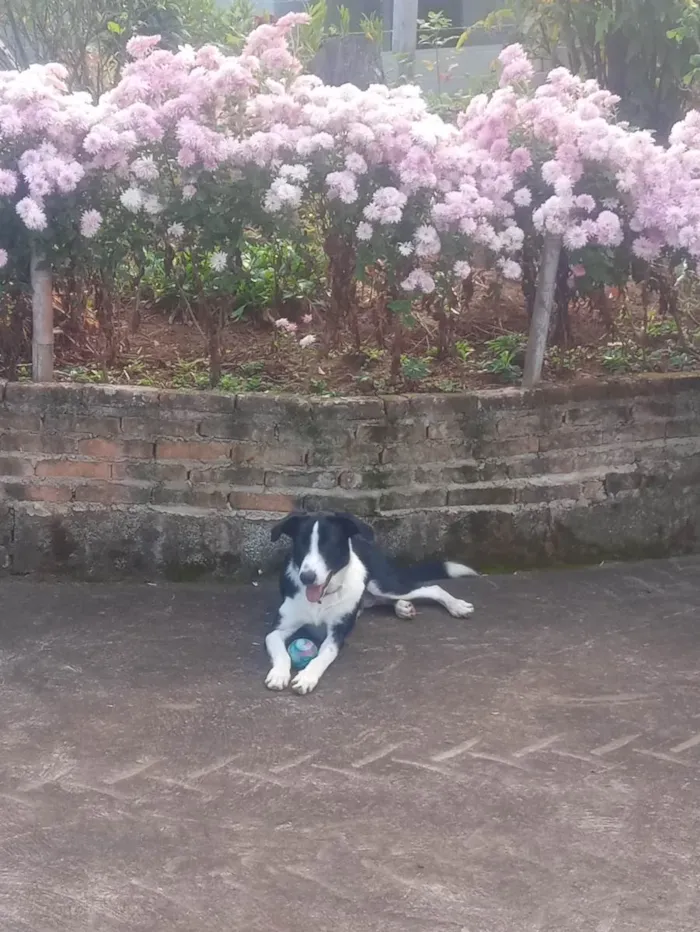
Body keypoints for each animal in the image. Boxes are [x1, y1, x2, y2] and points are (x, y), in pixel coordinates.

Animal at [264, 510, 476, 700]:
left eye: (329, 545)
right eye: (302, 544)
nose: (306, 577)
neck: (321, 599)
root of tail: (364, 544)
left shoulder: (337, 635)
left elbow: (322, 656)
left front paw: (307, 676)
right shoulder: (277, 630)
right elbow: (281, 651)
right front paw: (279, 674)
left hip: (382, 584)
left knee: (432, 587)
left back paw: (456, 606)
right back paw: (402, 607)